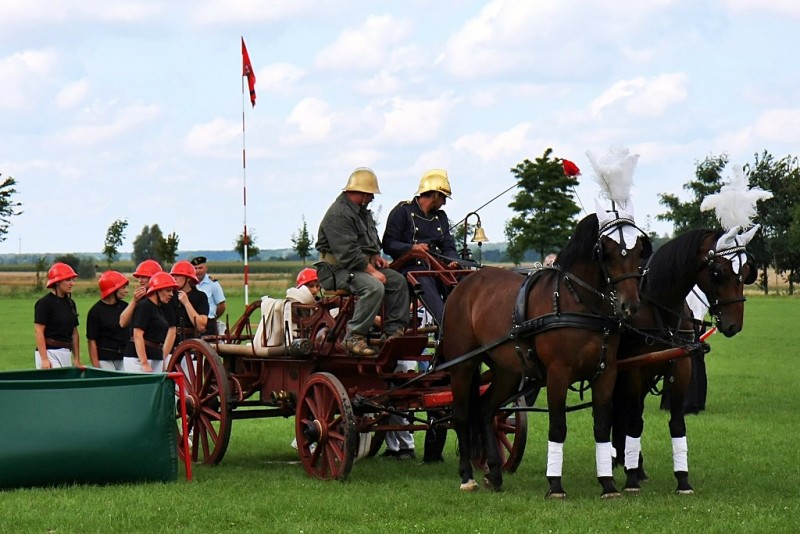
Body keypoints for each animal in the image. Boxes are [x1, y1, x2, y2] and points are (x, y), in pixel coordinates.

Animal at [440, 213, 652, 498]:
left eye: (639, 252)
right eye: (606, 253)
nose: (629, 306)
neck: (578, 304)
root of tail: (464, 284)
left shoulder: (606, 372)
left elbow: (601, 426)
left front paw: (608, 484)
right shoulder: (558, 373)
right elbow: (558, 426)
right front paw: (555, 486)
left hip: (507, 371)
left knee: (485, 410)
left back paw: (494, 472)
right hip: (463, 364)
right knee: (461, 415)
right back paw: (467, 476)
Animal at [612, 228, 756, 496]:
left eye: (746, 271)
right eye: (718, 272)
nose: (734, 325)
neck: (659, 306)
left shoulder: (679, 369)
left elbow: (677, 424)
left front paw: (682, 480)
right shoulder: (635, 370)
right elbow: (634, 423)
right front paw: (631, 480)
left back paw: (633, 464)